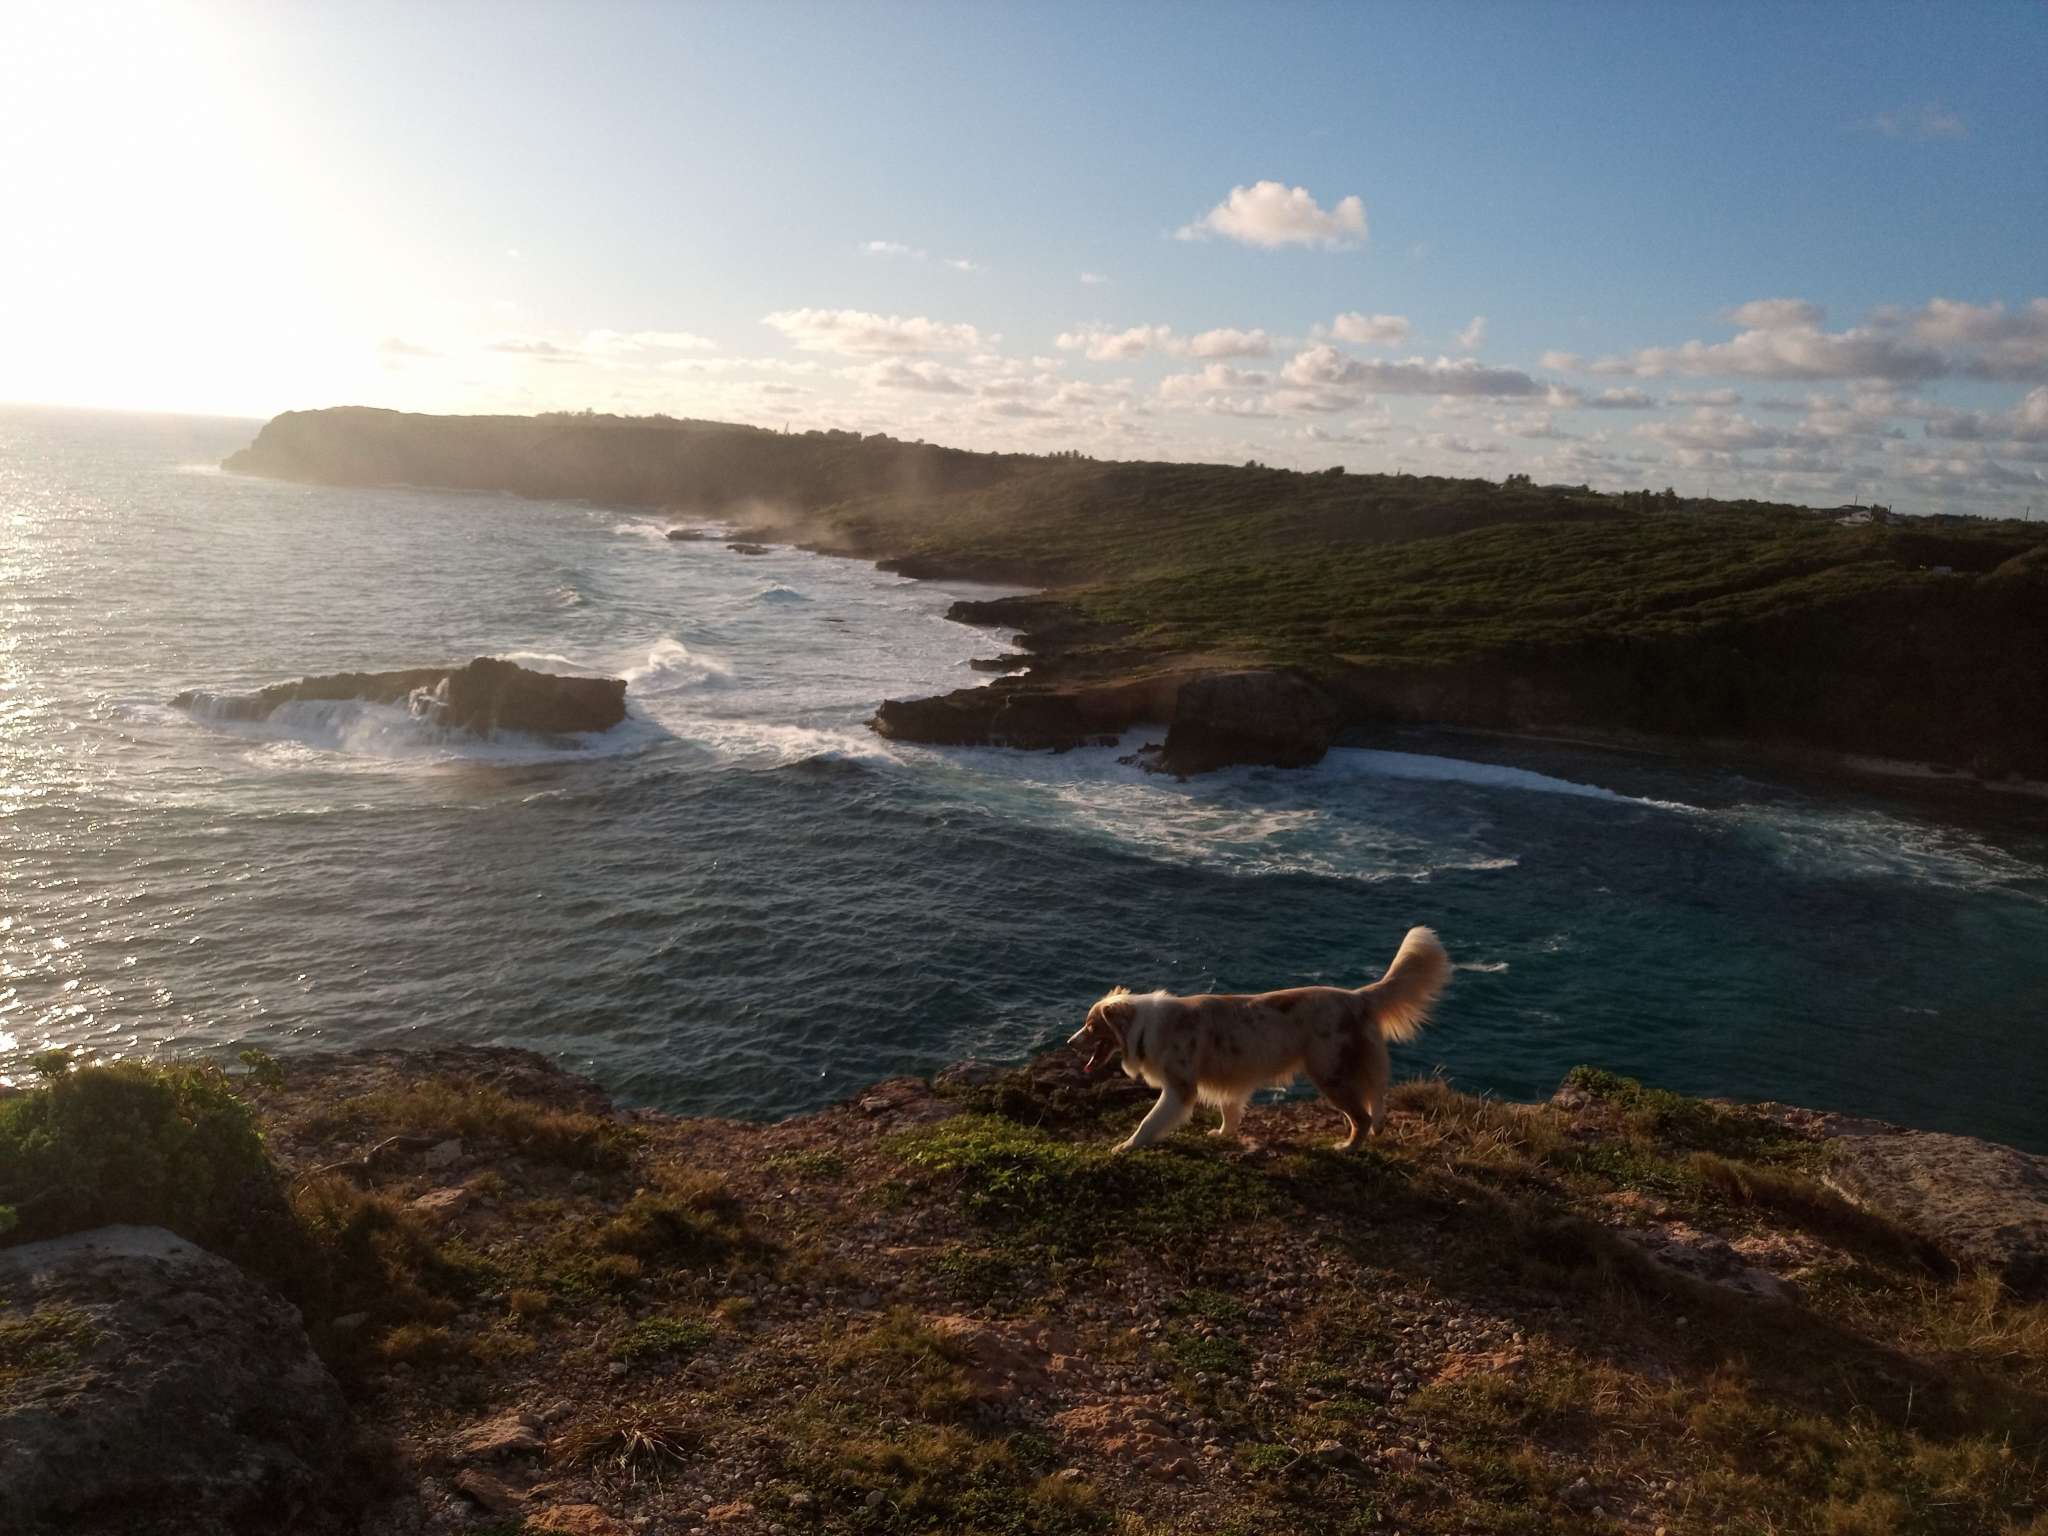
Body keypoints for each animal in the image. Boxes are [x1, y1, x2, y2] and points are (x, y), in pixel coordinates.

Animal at [1068, 927, 1450, 1152]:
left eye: (1090, 1027)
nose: (1070, 1043)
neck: (1144, 1028)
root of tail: (1358, 997)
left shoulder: (1179, 1087)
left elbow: (1149, 1121)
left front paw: (1127, 1146)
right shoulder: (1229, 1079)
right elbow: (1229, 1110)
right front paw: (1224, 1134)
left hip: (1328, 1073)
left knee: (1362, 1115)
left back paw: (1347, 1148)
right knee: (1376, 1096)